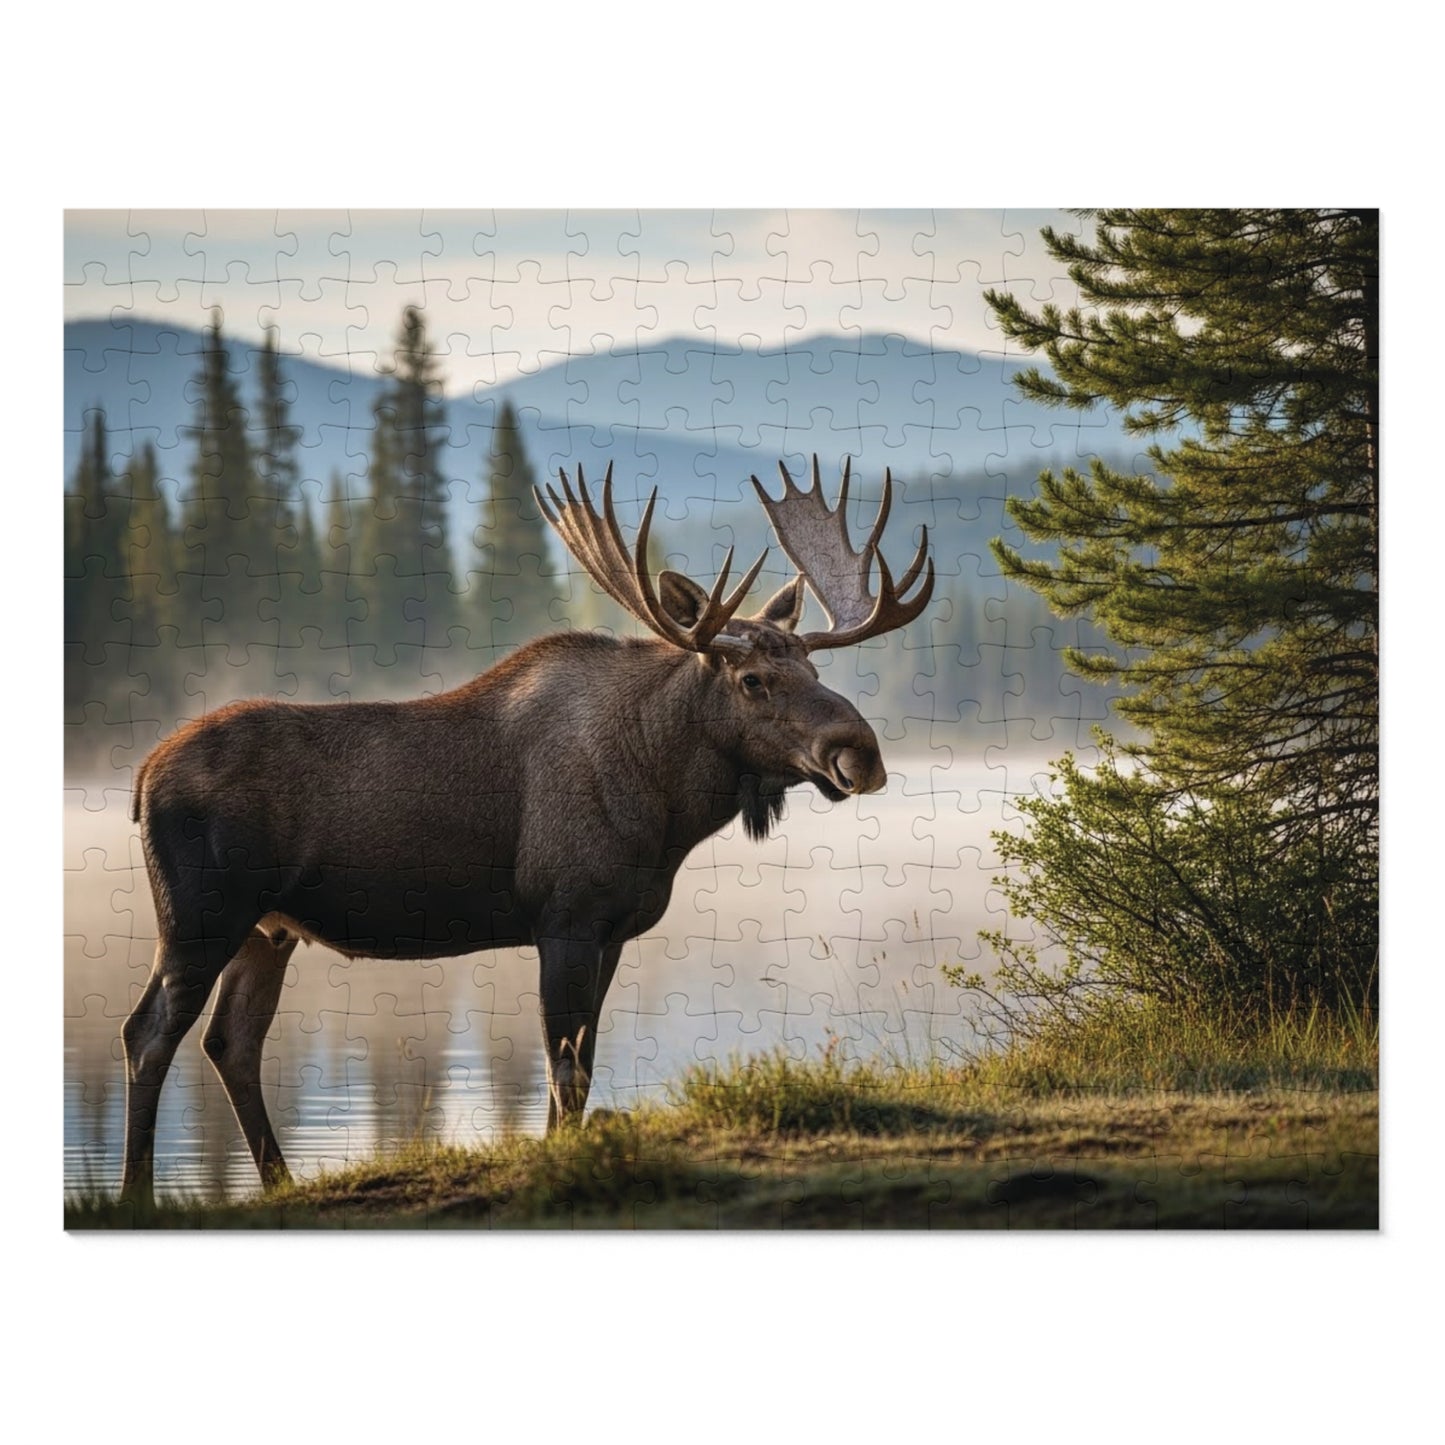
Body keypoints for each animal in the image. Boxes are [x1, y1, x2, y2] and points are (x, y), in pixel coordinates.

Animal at [119, 456, 934, 1206]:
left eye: (812, 668)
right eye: (752, 680)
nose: (859, 753)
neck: (666, 803)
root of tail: (142, 773)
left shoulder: (611, 930)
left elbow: (583, 1062)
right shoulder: (564, 917)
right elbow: (563, 1066)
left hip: (267, 928)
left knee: (232, 1041)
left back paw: (281, 1181)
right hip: (198, 916)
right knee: (149, 1032)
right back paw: (137, 1194)